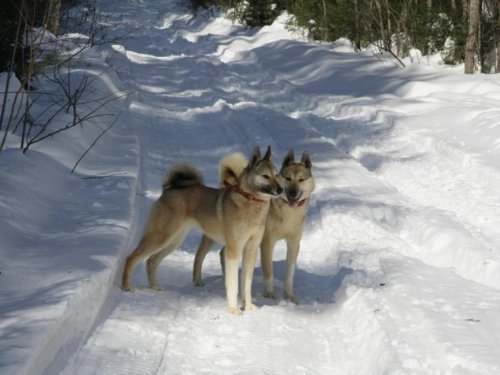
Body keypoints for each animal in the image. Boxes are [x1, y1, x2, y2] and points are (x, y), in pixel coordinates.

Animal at [121, 147, 282, 314]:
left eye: (276, 175)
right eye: (265, 176)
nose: (281, 189)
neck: (250, 201)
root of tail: (170, 189)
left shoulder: (251, 250)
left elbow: (246, 283)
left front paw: (248, 306)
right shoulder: (233, 251)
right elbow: (233, 285)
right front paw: (233, 310)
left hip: (174, 241)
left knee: (151, 260)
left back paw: (154, 286)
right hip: (161, 236)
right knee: (132, 258)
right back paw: (126, 286)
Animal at [191, 150, 312, 306]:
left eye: (301, 180)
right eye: (288, 178)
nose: (292, 193)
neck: (286, 211)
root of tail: (231, 183)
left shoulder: (294, 242)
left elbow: (290, 273)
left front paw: (290, 296)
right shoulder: (266, 242)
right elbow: (268, 271)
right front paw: (269, 294)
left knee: (223, 253)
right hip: (214, 237)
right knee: (200, 255)